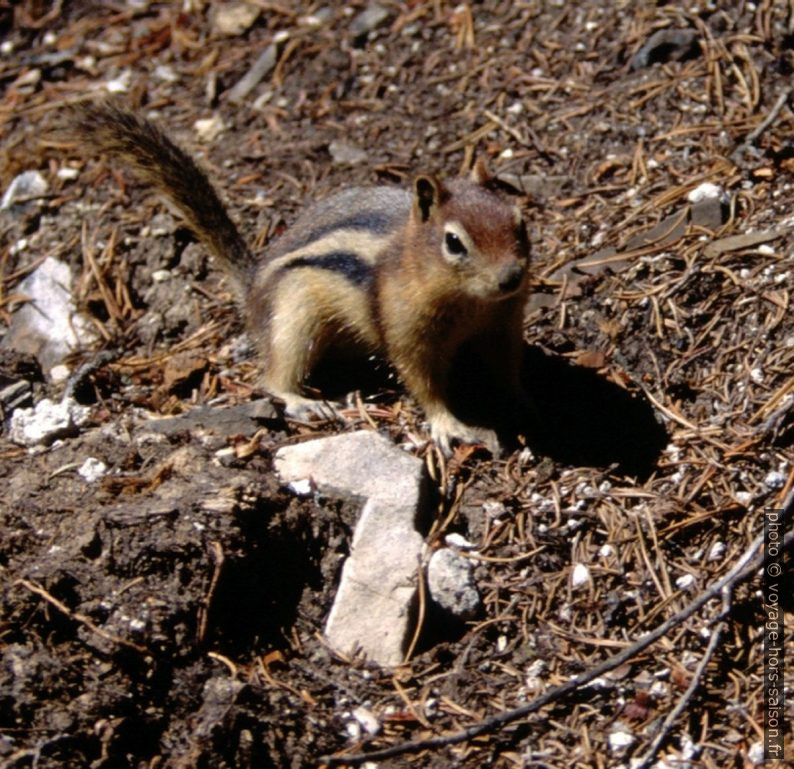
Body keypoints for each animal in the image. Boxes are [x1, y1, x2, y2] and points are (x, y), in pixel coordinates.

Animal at [74, 102, 532, 450]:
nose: (511, 277)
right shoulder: (408, 334)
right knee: (273, 377)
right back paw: (303, 402)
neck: (470, 304)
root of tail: (253, 287)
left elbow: (509, 364)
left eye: (520, 222)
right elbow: (423, 384)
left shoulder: (503, 325)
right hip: (294, 318)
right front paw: (450, 426)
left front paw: (526, 400)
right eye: (454, 242)